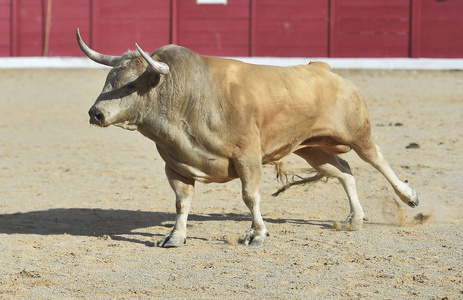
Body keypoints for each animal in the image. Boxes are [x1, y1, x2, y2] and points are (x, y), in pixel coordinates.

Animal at [74, 28, 418, 248]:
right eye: (109, 78)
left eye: (132, 84)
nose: (95, 114)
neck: (190, 96)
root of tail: (324, 68)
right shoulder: (176, 165)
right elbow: (182, 202)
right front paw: (175, 236)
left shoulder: (248, 158)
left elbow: (250, 197)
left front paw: (257, 235)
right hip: (311, 148)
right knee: (344, 171)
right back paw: (355, 219)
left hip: (356, 133)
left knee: (377, 159)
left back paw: (408, 196)